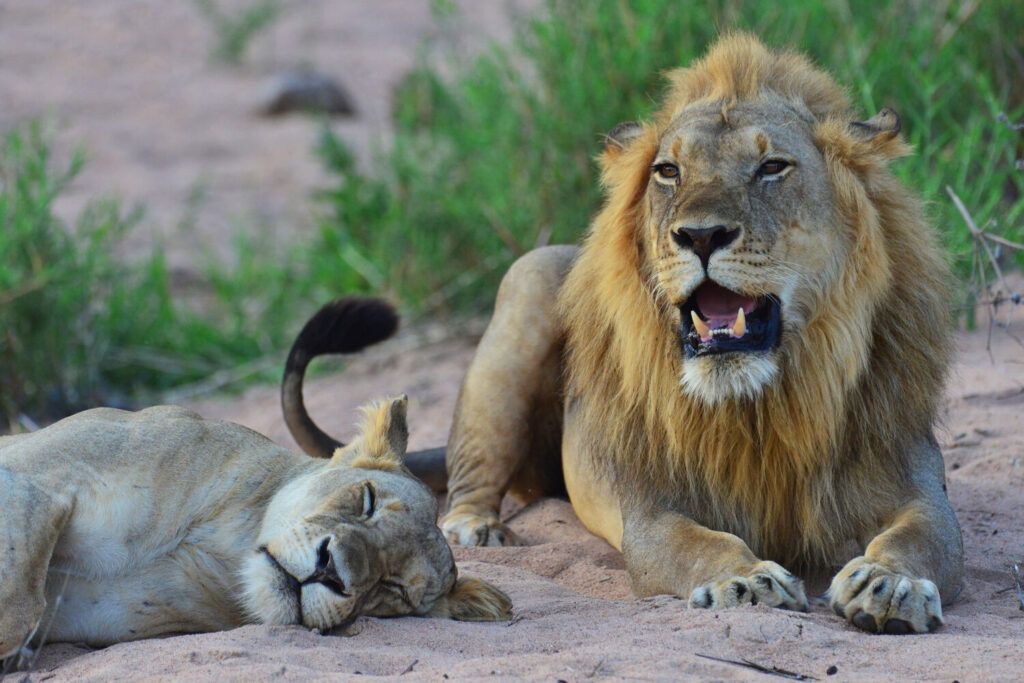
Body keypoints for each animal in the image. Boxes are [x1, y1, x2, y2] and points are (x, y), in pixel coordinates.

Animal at [0, 326, 511, 658]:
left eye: (394, 590)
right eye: (366, 501)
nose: (331, 571)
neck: (221, 546)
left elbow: (24, 611)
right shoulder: (34, 476)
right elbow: (20, 602)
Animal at [282, 36, 964, 635]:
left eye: (772, 167)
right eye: (668, 170)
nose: (700, 235)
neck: (762, 405)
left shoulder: (915, 480)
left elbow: (923, 535)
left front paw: (889, 582)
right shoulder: (650, 503)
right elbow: (692, 541)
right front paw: (745, 581)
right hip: (528, 282)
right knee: (470, 471)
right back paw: (473, 528)